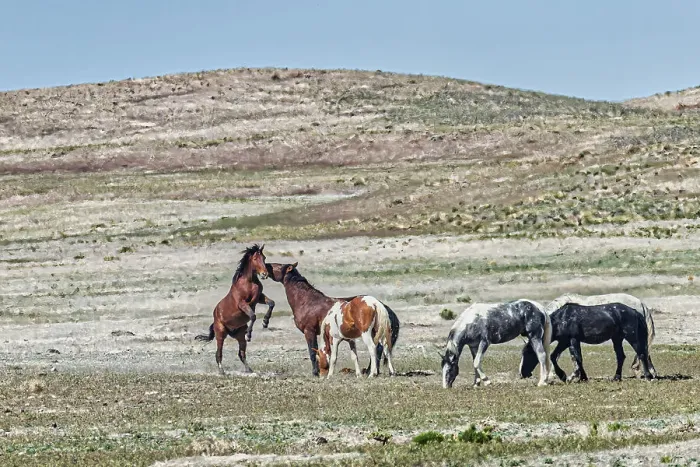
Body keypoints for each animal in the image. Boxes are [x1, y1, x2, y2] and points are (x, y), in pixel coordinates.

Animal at [194, 244, 269, 375]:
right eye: (255, 259)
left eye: (264, 258)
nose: (265, 274)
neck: (249, 282)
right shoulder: (242, 304)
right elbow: (253, 315)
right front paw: (249, 334)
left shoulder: (259, 298)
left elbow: (271, 303)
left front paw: (265, 322)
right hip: (220, 335)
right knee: (218, 354)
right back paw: (222, 371)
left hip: (239, 337)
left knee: (241, 354)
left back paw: (249, 370)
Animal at [266, 262, 400, 377]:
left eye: (279, 266)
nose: (266, 265)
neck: (307, 302)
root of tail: (380, 305)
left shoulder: (309, 332)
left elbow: (312, 352)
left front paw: (315, 373)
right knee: (381, 349)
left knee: (376, 349)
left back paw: (371, 371)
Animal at [520, 302, 654, 382]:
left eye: (528, 353)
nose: (522, 374)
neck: (562, 319)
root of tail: (634, 311)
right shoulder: (564, 341)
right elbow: (556, 356)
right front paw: (566, 376)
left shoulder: (573, 340)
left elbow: (577, 358)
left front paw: (577, 377)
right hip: (617, 339)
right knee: (621, 356)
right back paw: (616, 377)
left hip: (631, 337)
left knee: (641, 354)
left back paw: (648, 376)